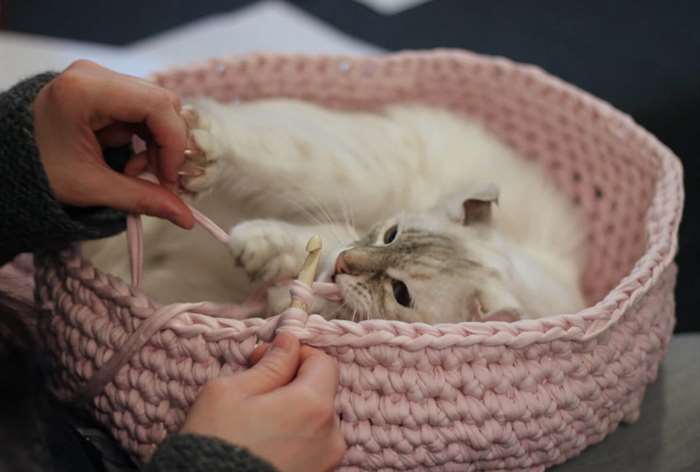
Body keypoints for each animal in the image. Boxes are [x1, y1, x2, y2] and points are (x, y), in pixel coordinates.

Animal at [83, 97, 584, 322]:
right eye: (390, 235)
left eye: (400, 293)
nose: (347, 265)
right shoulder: (345, 231)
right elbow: (307, 243)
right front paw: (261, 249)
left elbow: (299, 281)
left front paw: (263, 263)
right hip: (358, 174)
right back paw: (198, 155)